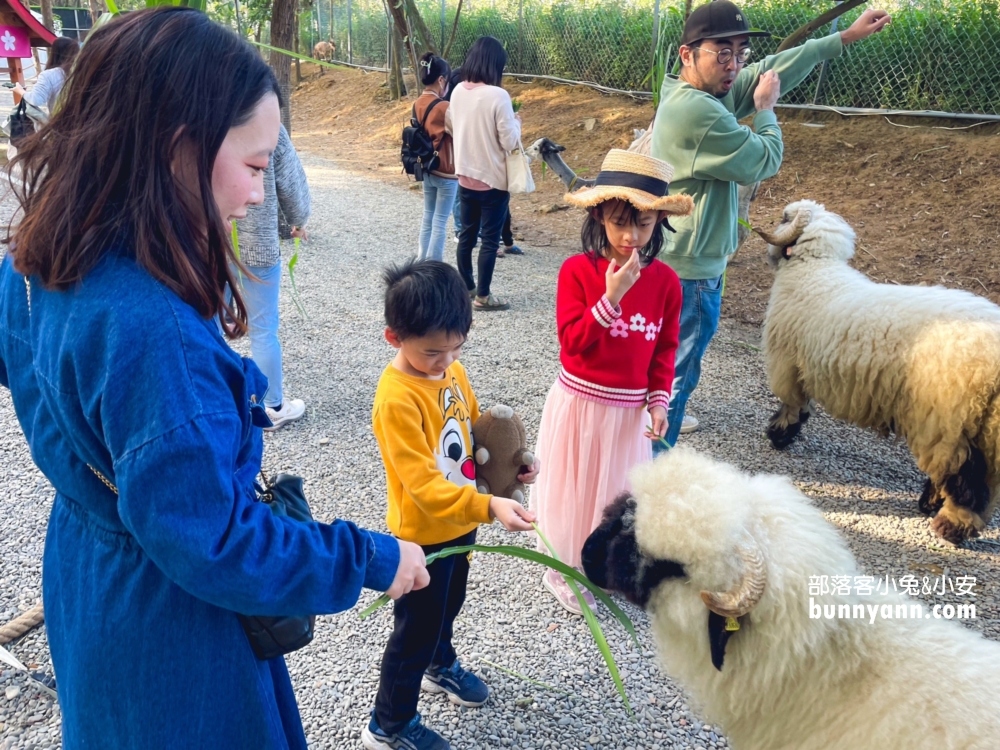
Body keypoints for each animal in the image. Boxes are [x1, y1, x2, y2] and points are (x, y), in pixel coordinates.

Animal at [756, 200, 1000, 548]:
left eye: (783, 218)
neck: (815, 270)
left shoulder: (788, 364)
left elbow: (793, 406)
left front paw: (778, 435)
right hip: (982, 426)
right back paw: (932, 505)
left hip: (950, 418)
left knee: (963, 478)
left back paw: (949, 526)